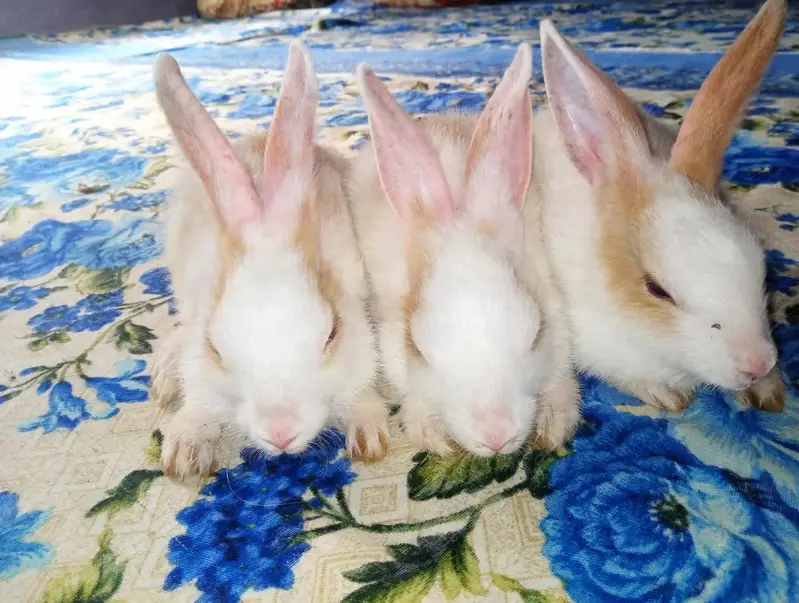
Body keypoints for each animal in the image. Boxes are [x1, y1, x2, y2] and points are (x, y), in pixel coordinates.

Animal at [148, 41, 390, 478]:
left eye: (331, 335)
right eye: (216, 349)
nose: (280, 433)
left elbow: (360, 392)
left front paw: (368, 435)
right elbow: (199, 404)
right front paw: (183, 455)